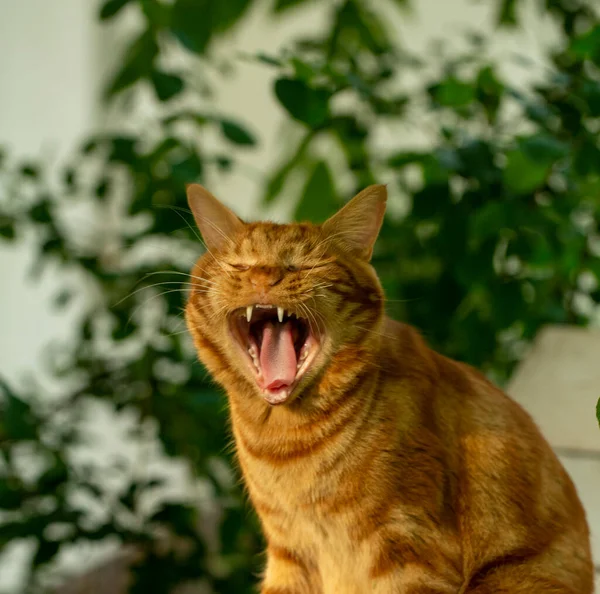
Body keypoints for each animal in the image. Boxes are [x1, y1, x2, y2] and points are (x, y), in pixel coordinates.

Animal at [185, 184, 592, 592]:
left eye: (304, 265)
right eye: (240, 265)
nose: (264, 279)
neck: (287, 440)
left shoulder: (407, 547)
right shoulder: (289, 552)